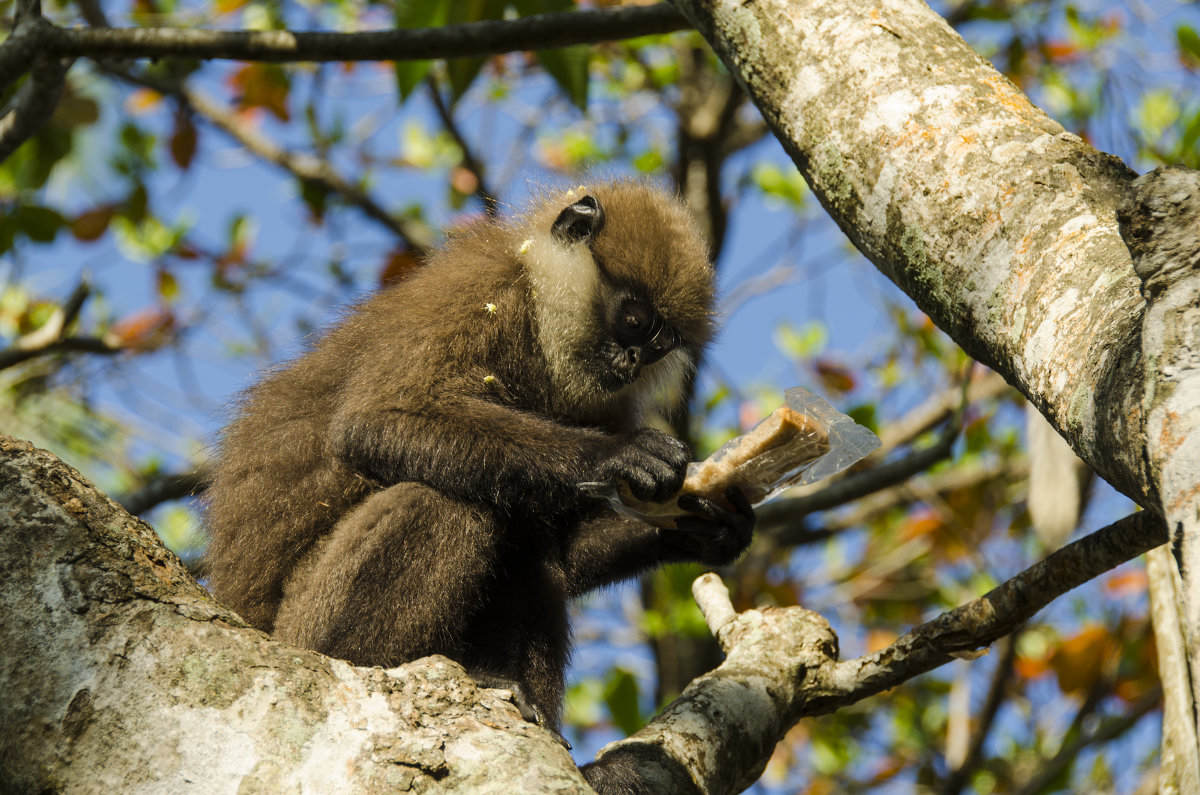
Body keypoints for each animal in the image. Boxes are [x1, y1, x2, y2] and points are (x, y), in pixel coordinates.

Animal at [204, 182, 748, 792]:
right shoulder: (480, 292)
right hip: (306, 626)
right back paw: (383, 667)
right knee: (445, 501)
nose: (631, 360)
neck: (537, 324)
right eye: (633, 321)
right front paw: (617, 456)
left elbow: (565, 554)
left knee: (530, 546)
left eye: (656, 348)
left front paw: (705, 524)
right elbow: (376, 419)